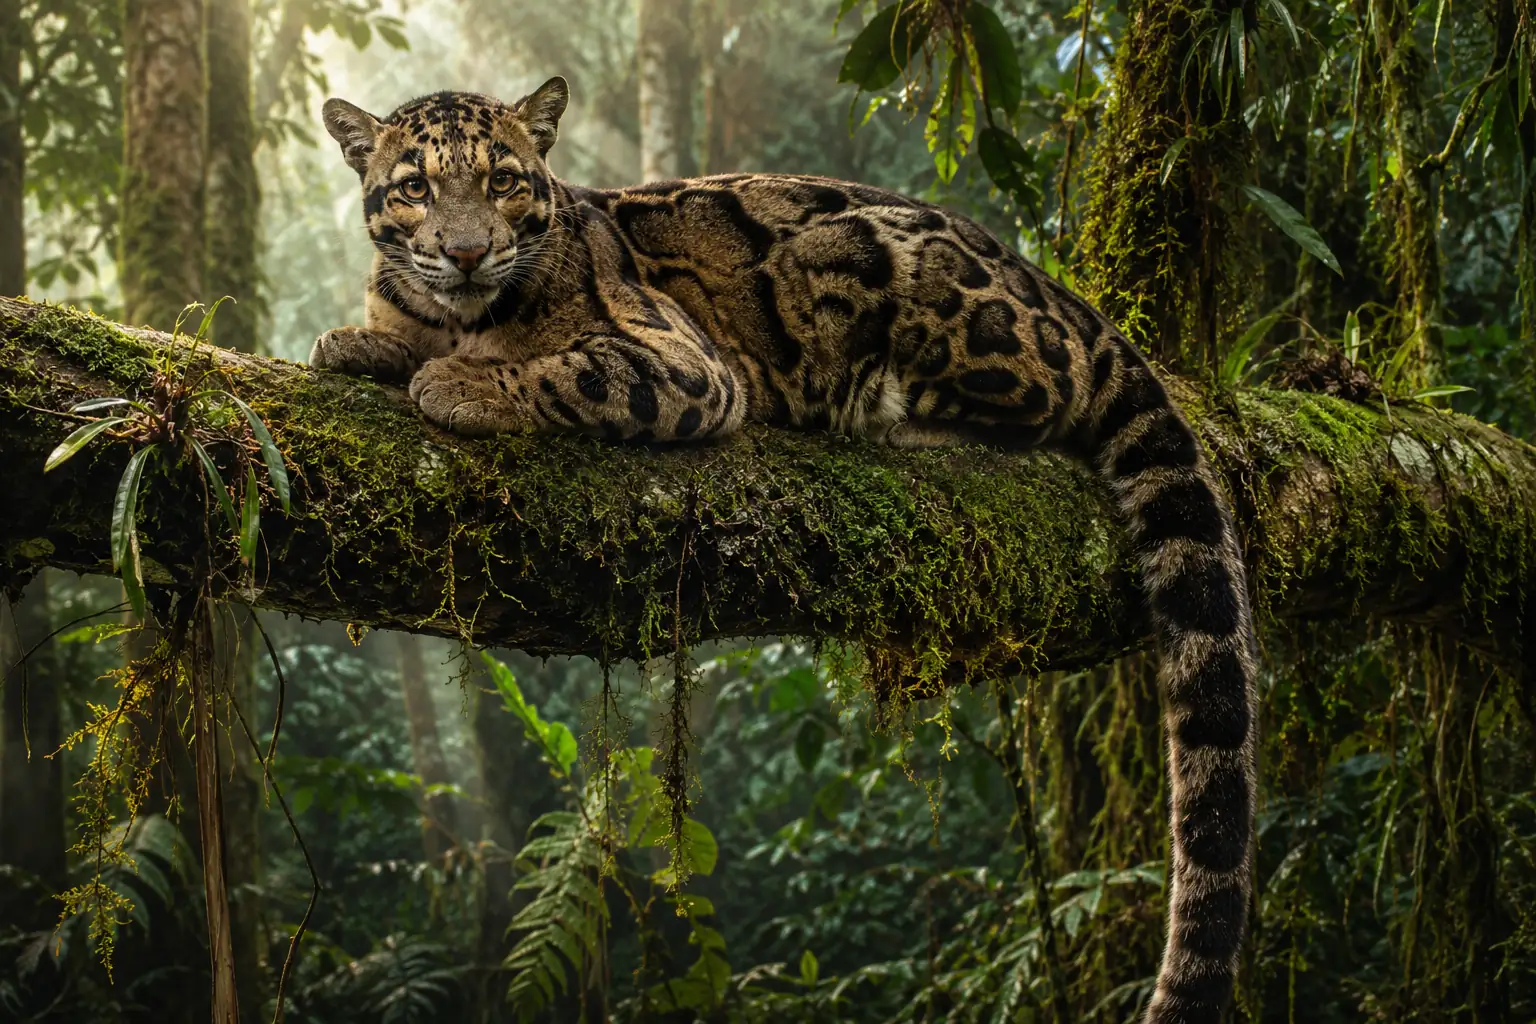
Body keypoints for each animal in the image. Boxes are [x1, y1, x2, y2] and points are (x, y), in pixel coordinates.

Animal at [313, 76, 1258, 1024]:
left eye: (503, 182)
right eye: (414, 189)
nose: (469, 252)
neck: (457, 311)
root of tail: (1069, 300)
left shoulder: (682, 365)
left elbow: (566, 371)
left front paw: (461, 381)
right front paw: (363, 342)